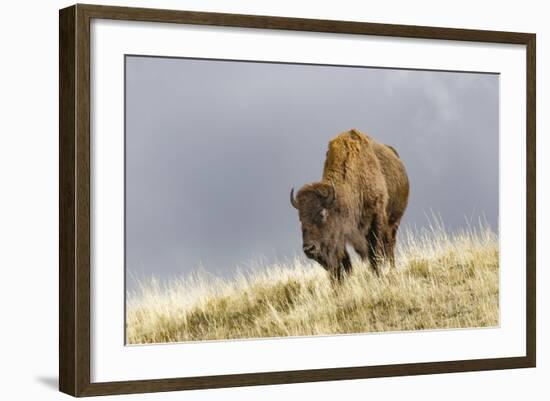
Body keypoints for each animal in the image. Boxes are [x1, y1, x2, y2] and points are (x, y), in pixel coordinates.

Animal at [294, 128, 410, 278]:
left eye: (322, 214)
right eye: (300, 218)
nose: (309, 248)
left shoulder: (376, 217)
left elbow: (374, 252)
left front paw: (377, 274)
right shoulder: (340, 234)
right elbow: (344, 262)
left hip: (394, 222)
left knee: (389, 245)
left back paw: (391, 268)